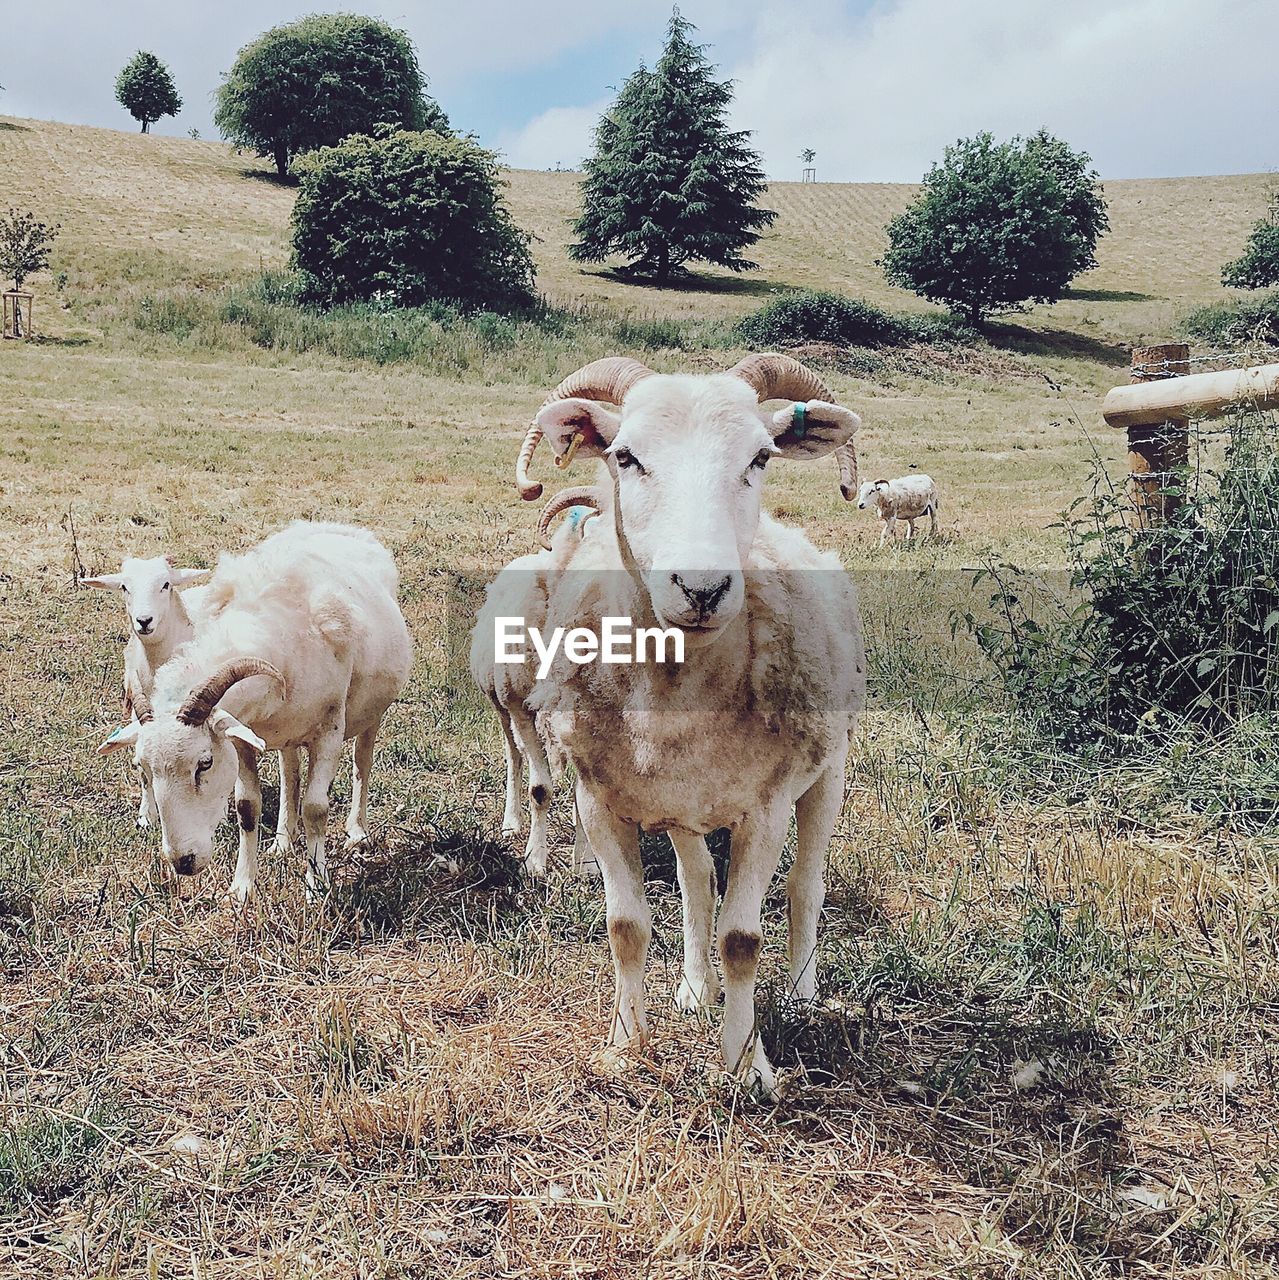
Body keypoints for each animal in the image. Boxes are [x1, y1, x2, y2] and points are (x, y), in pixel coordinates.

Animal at [80, 558, 207, 829]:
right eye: (124, 587)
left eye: (166, 584)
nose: (144, 620)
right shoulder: (140, 718)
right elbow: (144, 770)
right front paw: (147, 815)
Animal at [97, 519, 412, 901]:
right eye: (142, 766)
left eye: (205, 763)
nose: (183, 862)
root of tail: (335, 525)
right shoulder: (241, 737)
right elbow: (248, 808)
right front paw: (243, 887)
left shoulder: (329, 730)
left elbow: (316, 809)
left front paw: (316, 884)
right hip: (286, 730)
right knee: (289, 773)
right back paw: (283, 840)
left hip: (371, 714)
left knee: (361, 764)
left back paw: (357, 831)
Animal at [499, 353, 870, 1100]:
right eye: (625, 456)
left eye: (760, 457)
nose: (702, 589)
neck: (679, 687)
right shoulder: (602, 800)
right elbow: (626, 926)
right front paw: (623, 1048)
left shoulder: (765, 809)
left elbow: (742, 939)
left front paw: (746, 1065)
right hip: (682, 807)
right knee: (697, 881)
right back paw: (697, 990)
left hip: (828, 771)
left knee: (805, 886)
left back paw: (800, 994)